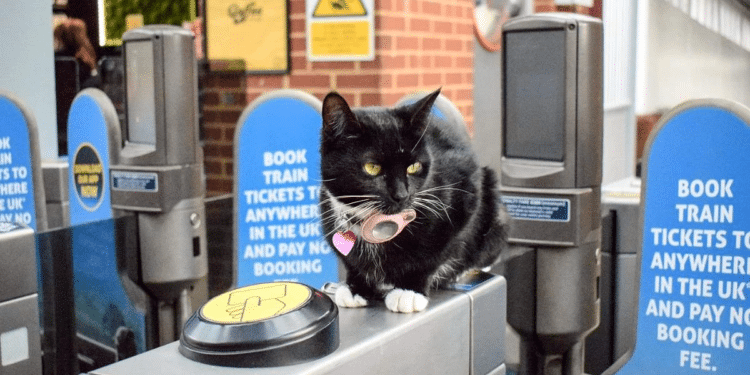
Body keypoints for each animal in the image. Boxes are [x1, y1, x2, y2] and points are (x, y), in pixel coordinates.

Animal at [320, 89, 508, 312]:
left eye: (414, 167)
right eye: (372, 167)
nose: (401, 195)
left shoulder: (465, 194)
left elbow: (436, 253)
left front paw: (408, 291)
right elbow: (350, 261)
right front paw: (356, 288)